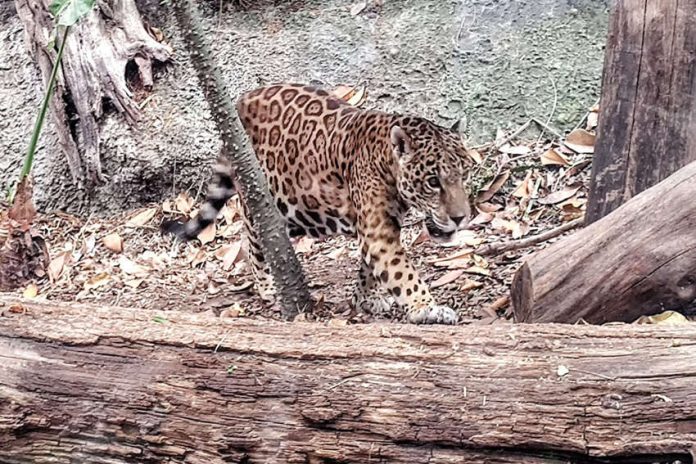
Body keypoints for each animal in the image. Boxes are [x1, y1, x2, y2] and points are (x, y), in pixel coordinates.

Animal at [165, 83, 474, 324]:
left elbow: (370, 269)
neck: (387, 162)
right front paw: (428, 308)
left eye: (465, 174)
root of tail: (242, 100)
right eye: (433, 181)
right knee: (253, 240)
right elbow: (403, 273)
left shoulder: (378, 228)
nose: (461, 218)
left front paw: (366, 298)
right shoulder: (378, 232)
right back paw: (267, 286)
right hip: (257, 195)